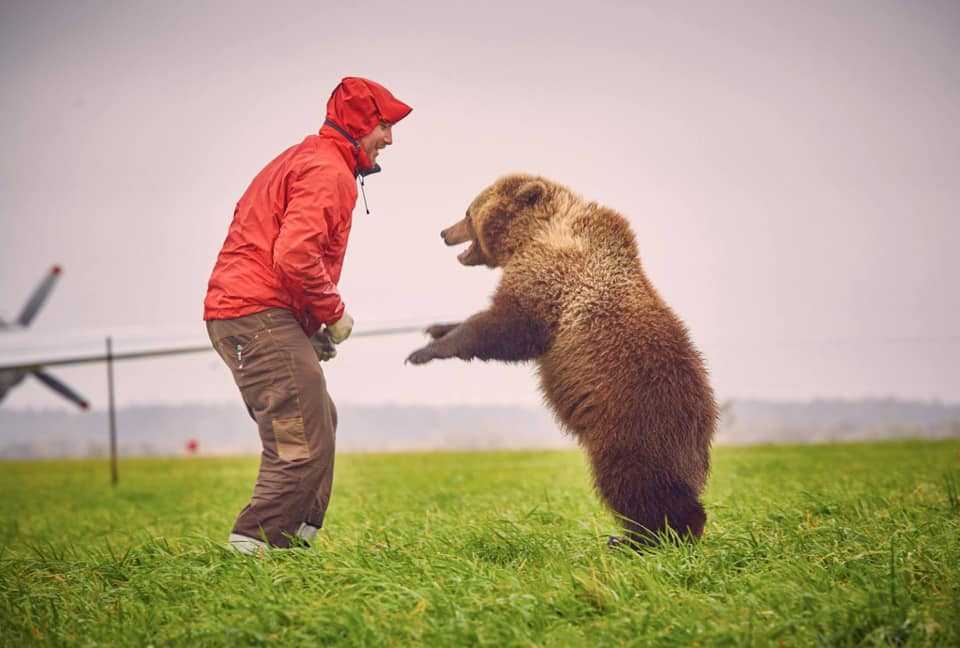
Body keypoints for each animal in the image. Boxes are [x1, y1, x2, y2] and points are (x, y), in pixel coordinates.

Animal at [406, 173, 720, 548]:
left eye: (468, 212)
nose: (443, 232)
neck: (532, 235)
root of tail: (705, 420)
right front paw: (436, 328)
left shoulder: (550, 278)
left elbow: (509, 327)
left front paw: (426, 351)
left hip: (634, 418)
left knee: (633, 480)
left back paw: (644, 538)